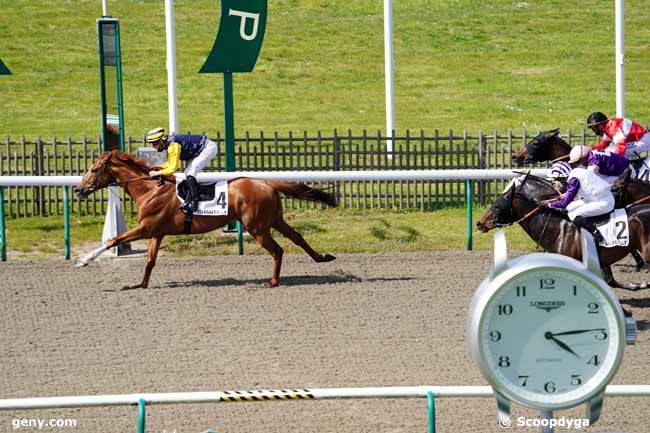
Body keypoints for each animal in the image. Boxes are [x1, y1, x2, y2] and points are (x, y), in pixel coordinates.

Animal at [76, 150, 336, 288]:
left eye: (94, 169)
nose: (79, 189)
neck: (149, 190)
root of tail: (268, 183)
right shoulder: (157, 232)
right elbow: (150, 261)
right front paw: (140, 285)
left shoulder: (146, 228)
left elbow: (113, 240)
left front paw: (83, 260)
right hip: (274, 220)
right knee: (297, 237)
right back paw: (323, 258)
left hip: (257, 227)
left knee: (277, 250)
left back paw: (272, 281)